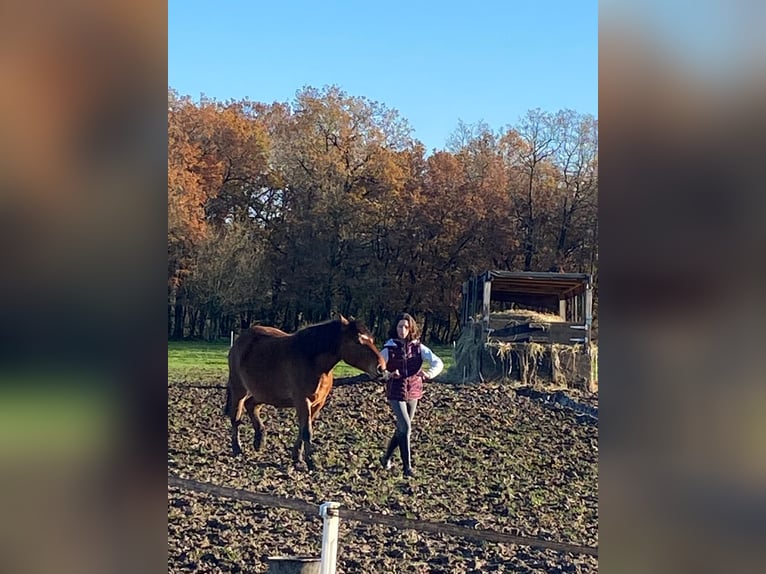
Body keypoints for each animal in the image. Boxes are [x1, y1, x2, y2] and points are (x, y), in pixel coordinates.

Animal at [224, 315, 389, 470]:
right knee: (236, 417)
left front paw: (297, 456)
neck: (313, 361)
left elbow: (303, 429)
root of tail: (240, 340)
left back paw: (259, 441)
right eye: (357, 341)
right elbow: (307, 431)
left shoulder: (317, 403)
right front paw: (311, 462)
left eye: (371, 340)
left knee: (251, 405)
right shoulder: (302, 401)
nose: (381, 368)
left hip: (265, 394)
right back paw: (237, 448)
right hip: (239, 389)